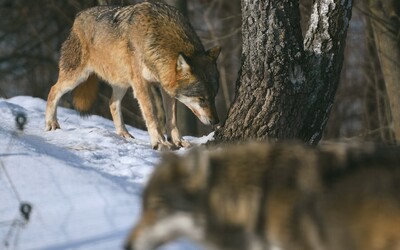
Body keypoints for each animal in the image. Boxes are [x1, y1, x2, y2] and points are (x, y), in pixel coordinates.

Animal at [45, 1, 220, 149]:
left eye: (213, 97)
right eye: (201, 99)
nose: (216, 122)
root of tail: (78, 16)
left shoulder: (166, 87)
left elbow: (172, 119)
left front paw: (178, 141)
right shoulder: (141, 84)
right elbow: (151, 115)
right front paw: (159, 142)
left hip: (122, 83)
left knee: (112, 103)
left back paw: (124, 134)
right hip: (77, 76)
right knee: (53, 89)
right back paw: (51, 124)